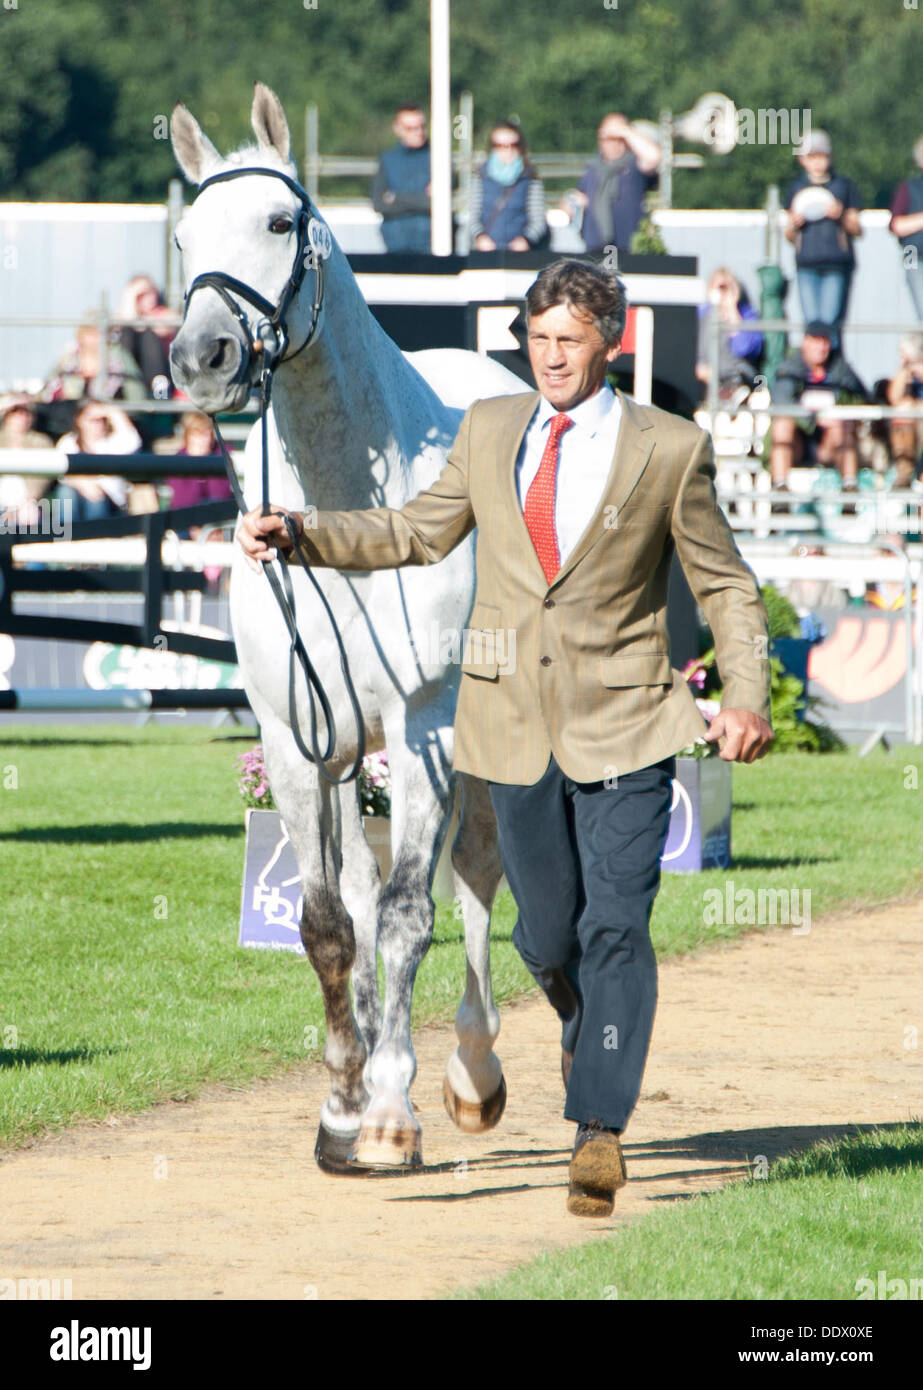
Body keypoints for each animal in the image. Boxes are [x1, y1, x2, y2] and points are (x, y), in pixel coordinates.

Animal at [170, 84, 533, 1173]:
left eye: (278, 222)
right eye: (183, 234)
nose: (201, 357)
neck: (347, 522)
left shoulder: (425, 732)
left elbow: (412, 914)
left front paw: (389, 1112)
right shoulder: (299, 745)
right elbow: (335, 924)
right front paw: (342, 1099)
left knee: (479, 880)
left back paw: (471, 1072)